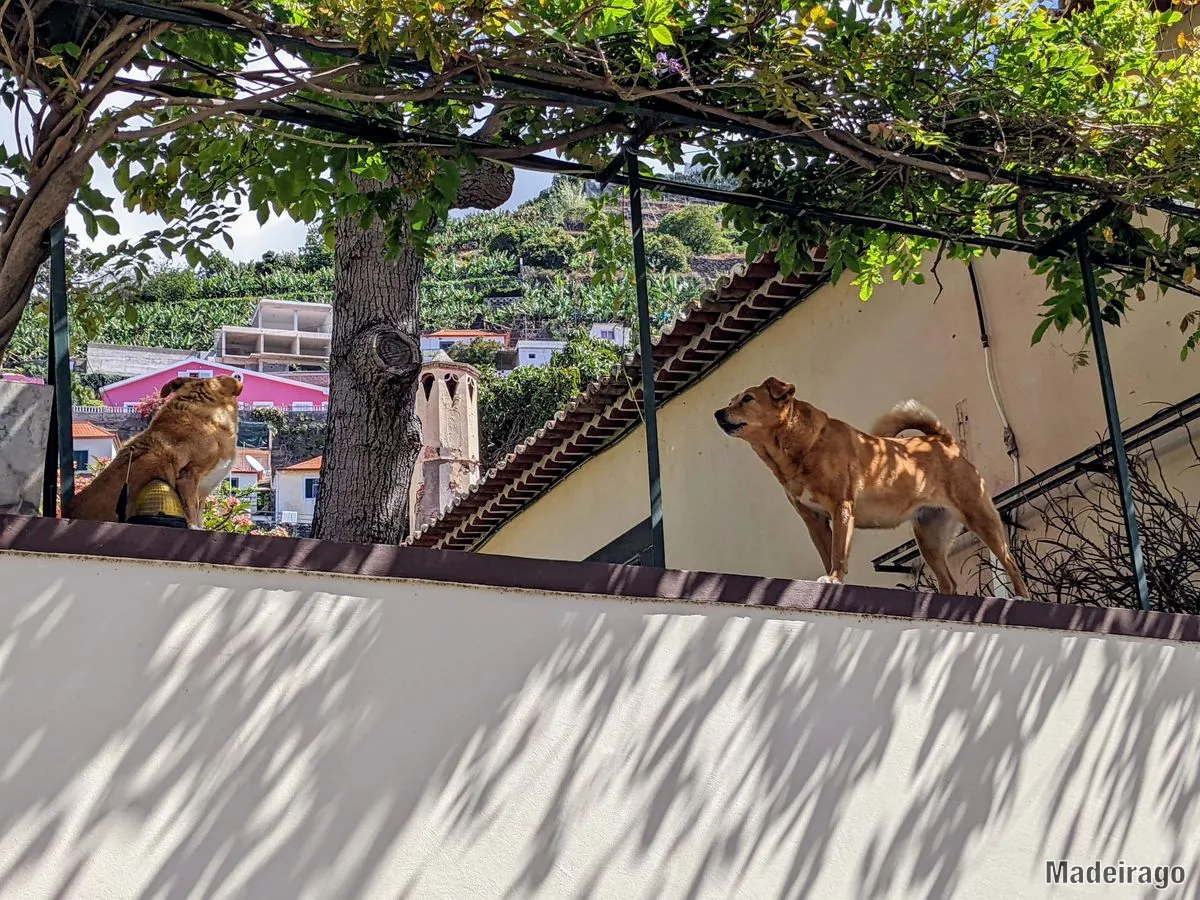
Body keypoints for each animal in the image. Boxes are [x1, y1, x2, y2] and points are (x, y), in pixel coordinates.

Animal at [710, 379, 1032, 600]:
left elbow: (838, 554)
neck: (799, 445)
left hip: (979, 517)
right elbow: (827, 553)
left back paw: (1020, 596)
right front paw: (832, 581)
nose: (717, 413)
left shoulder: (841, 507)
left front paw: (834, 579)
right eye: (732, 400)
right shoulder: (814, 520)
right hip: (929, 536)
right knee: (949, 582)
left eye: (748, 399)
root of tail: (943, 441)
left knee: (1010, 561)